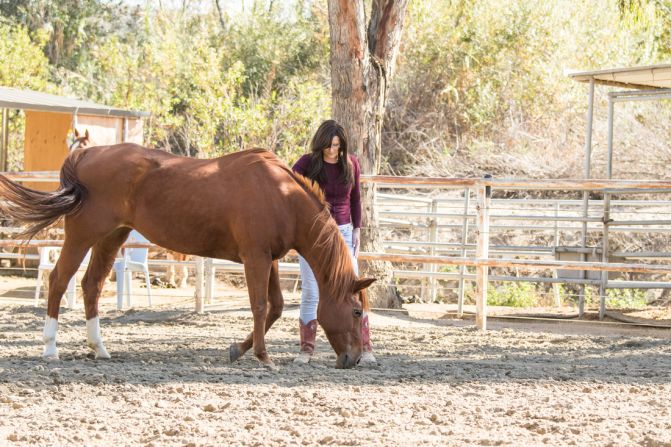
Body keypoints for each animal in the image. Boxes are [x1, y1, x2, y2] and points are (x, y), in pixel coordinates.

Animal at [0, 145, 378, 370]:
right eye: (356, 311)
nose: (353, 359)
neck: (280, 195)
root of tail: (86, 153)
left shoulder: (268, 258)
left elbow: (276, 306)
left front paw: (238, 349)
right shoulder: (254, 258)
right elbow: (260, 306)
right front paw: (263, 356)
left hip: (111, 237)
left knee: (91, 285)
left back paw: (99, 348)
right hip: (83, 235)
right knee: (59, 280)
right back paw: (50, 348)